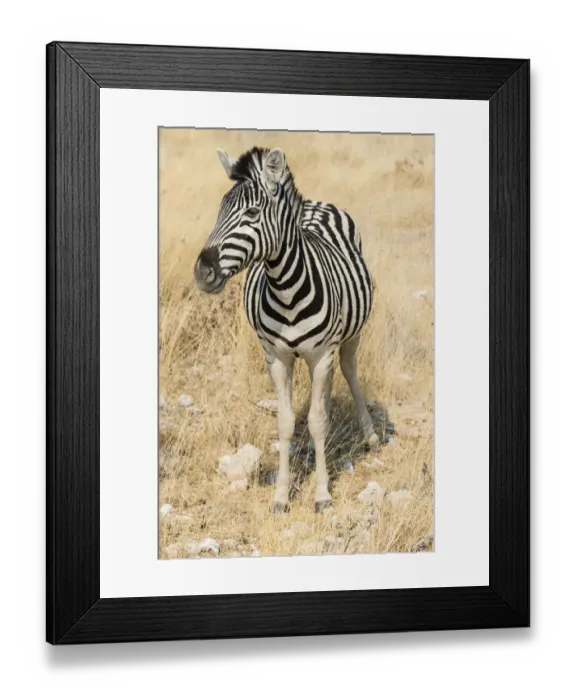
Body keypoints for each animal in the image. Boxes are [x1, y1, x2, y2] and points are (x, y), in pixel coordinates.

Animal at [194, 146, 379, 512]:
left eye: (252, 212)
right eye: (220, 209)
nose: (203, 271)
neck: (286, 289)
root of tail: (316, 203)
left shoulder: (322, 354)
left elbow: (319, 423)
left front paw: (322, 495)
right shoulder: (277, 356)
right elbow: (286, 423)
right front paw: (280, 496)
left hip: (349, 335)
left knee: (349, 370)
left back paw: (369, 434)